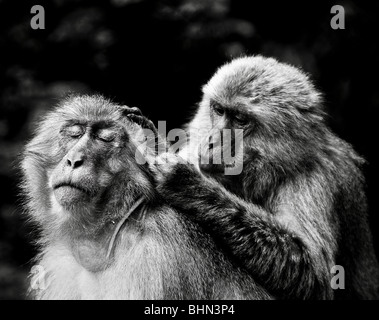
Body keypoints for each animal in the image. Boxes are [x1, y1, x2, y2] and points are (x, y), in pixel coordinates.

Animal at [127, 55, 379, 300]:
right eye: (218, 110)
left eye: (240, 119)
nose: (211, 142)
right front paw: (153, 139)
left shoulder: (313, 180)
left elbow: (314, 273)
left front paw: (188, 184)